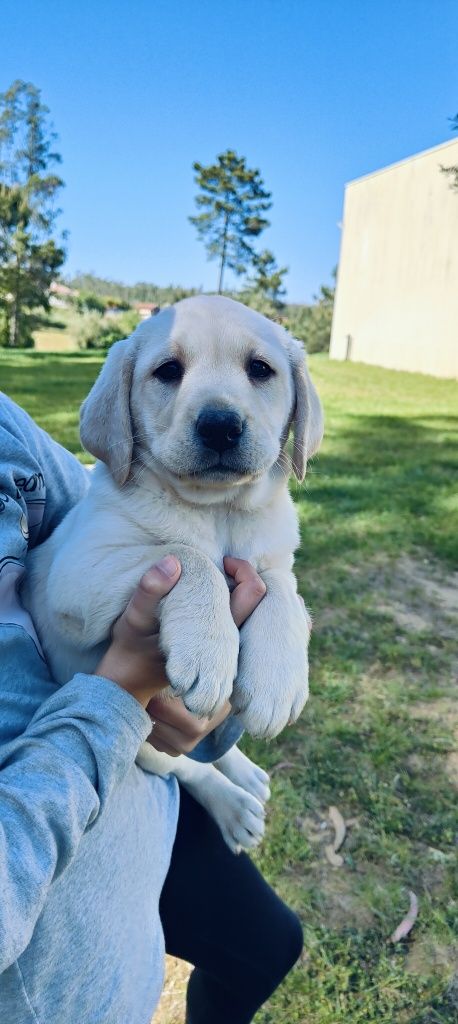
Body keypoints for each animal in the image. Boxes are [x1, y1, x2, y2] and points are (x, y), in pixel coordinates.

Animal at [21, 296, 323, 856]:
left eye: (260, 370)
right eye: (167, 372)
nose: (220, 425)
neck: (218, 511)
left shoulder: (275, 558)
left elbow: (280, 586)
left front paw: (278, 677)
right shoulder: (79, 573)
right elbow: (187, 554)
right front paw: (208, 648)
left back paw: (245, 771)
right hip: (143, 738)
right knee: (182, 767)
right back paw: (233, 806)